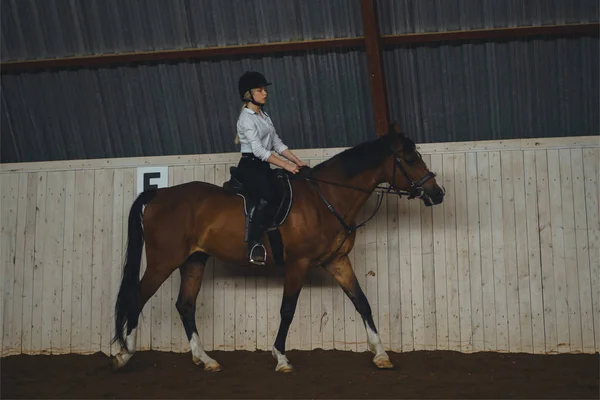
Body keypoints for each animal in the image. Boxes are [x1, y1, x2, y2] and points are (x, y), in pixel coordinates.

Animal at [110, 130, 442, 372]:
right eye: (410, 159)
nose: (437, 194)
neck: (325, 198)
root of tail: (158, 194)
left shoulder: (337, 261)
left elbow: (362, 302)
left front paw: (381, 354)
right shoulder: (299, 263)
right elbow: (287, 309)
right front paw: (281, 358)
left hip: (194, 260)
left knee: (185, 305)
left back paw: (205, 359)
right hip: (163, 262)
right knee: (138, 298)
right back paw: (125, 354)